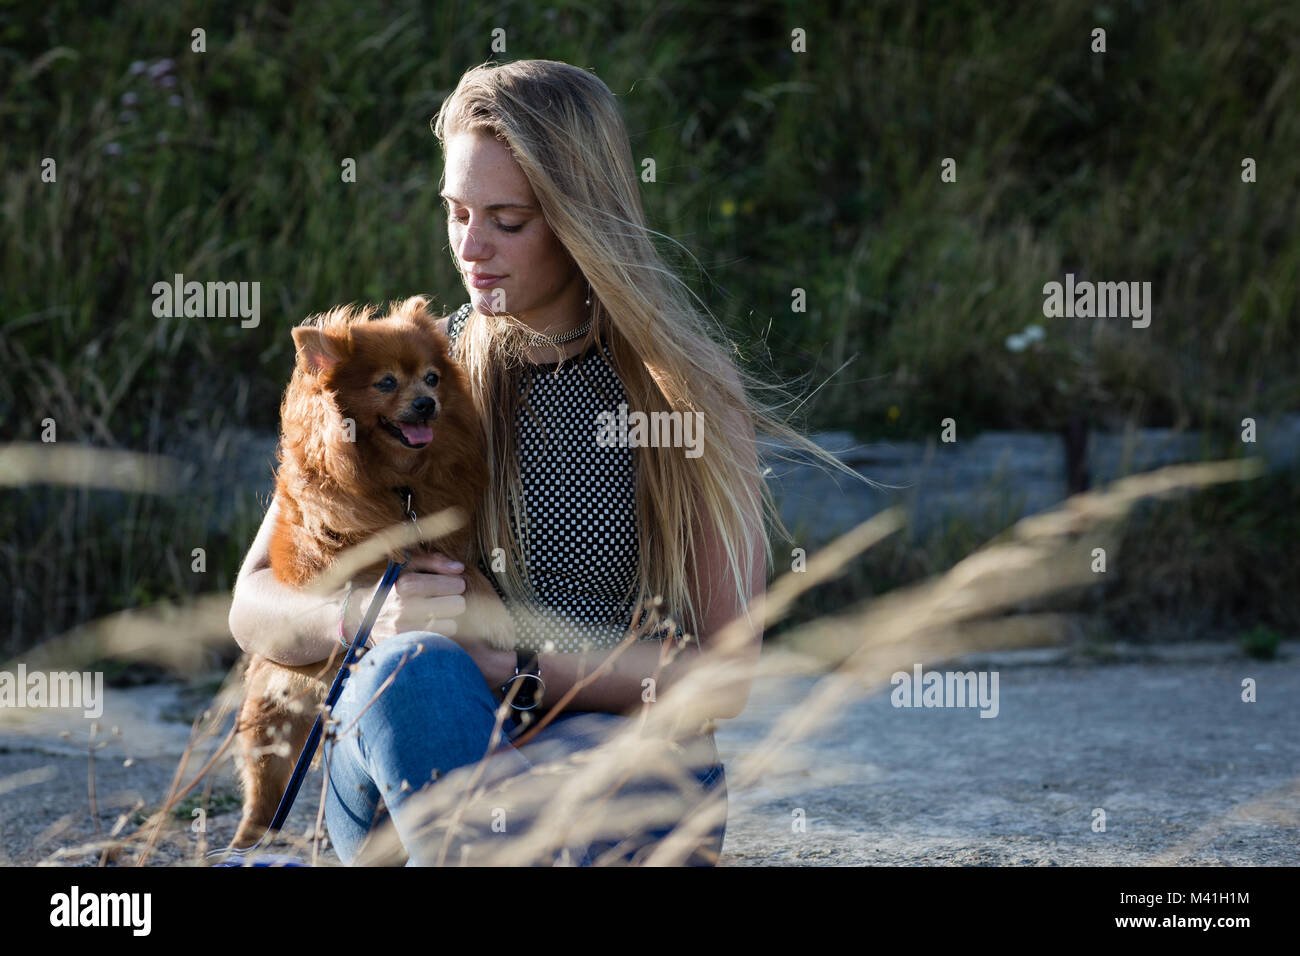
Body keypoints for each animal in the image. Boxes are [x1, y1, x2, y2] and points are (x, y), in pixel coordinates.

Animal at [231, 295, 514, 848]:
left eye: (431, 378)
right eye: (386, 382)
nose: (426, 403)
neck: (400, 486)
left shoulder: (443, 543)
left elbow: (469, 572)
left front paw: (491, 611)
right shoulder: (355, 556)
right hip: (272, 721)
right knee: (263, 792)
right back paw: (249, 840)